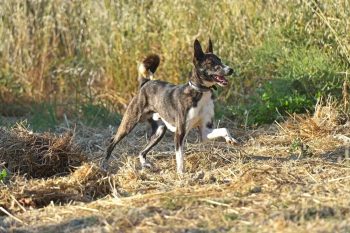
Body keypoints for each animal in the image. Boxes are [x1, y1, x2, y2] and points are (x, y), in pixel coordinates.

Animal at [101, 38, 238, 173]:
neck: (199, 92)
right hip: (129, 123)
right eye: (211, 63)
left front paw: (230, 139)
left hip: (159, 131)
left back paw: (145, 164)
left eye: (220, 60)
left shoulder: (205, 131)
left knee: (142, 151)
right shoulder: (180, 133)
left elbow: (224, 129)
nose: (230, 70)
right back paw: (104, 165)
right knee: (113, 141)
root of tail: (146, 82)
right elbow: (180, 157)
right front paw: (181, 174)